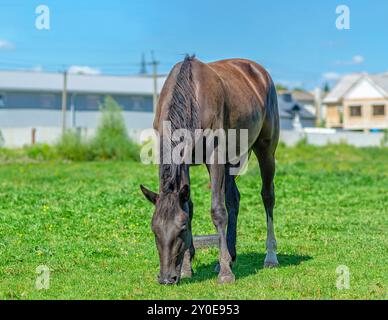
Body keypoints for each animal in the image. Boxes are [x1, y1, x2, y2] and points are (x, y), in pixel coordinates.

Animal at [141, 55, 280, 284]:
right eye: (154, 229)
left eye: (182, 228)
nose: (166, 278)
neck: (192, 95)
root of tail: (260, 73)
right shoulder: (185, 162)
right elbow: (189, 206)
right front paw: (187, 268)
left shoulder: (215, 157)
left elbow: (217, 211)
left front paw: (225, 273)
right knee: (234, 199)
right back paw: (230, 256)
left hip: (265, 150)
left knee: (268, 197)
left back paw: (270, 256)